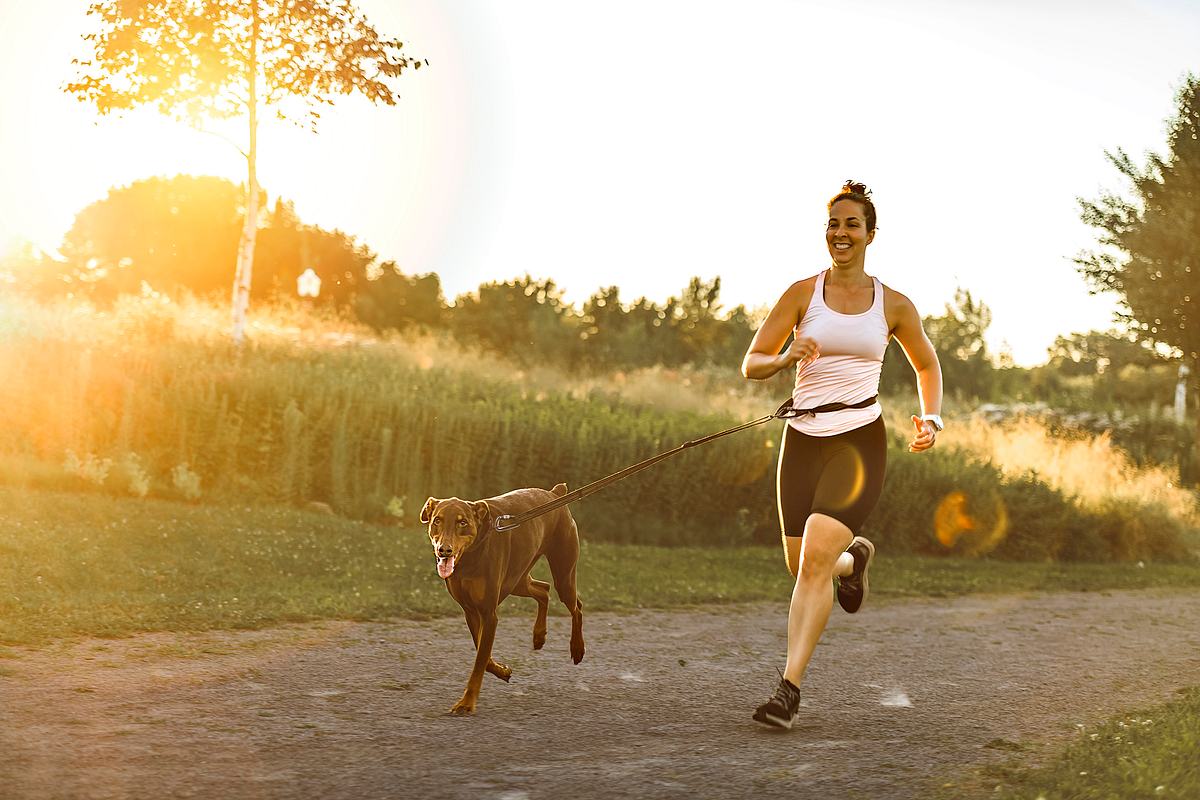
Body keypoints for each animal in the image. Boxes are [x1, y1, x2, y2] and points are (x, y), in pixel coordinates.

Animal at [422, 484, 585, 714]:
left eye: (463, 522)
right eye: (437, 520)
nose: (444, 550)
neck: (470, 558)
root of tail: (555, 493)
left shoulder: (489, 613)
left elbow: (480, 661)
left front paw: (466, 702)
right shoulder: (471, 611)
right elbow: (483, 654)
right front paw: (503, 671)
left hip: (563, 573)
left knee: (576, 606)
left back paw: (577, 648)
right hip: (517, 580)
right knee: (543, 590)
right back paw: (539, 635)